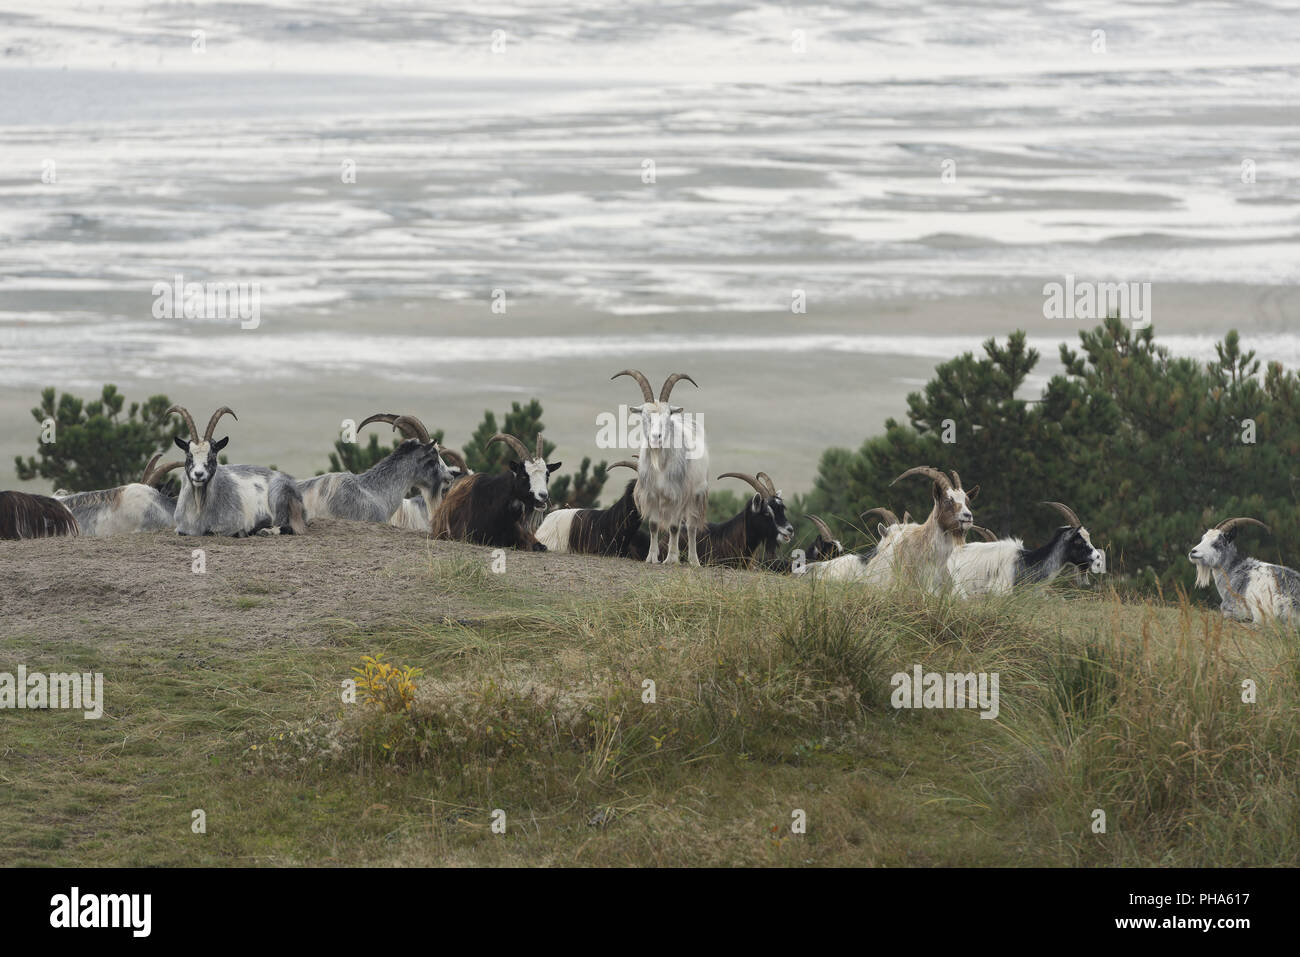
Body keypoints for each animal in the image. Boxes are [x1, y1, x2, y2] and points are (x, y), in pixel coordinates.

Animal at [167, 403, 306, 538]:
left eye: (212, 456)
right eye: (189, 455)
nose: (198, 474)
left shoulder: (233, 525)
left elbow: (214, 532)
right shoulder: (180, 528)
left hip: (278, 495)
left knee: (288, 527)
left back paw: (264, 531)